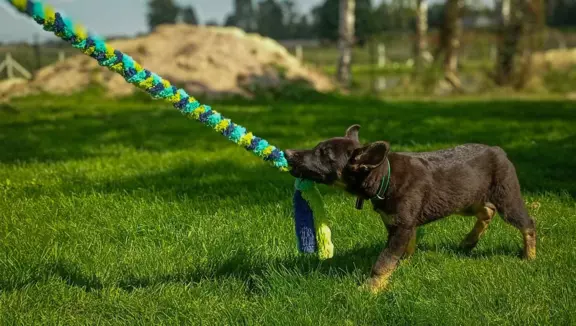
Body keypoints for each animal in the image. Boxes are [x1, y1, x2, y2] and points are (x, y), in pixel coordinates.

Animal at [284, 124, 536, 292]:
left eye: (323, 154)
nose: (287, 153)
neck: (383, 175)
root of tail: (498, 150)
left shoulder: (401, 226)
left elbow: (383, 260)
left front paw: (370, 289)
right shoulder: (401, 225)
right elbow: (404, 250)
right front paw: (403, 265)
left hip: (507, 199)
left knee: (527, 224)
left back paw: (529, 256)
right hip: (465, 200)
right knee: (486, 212)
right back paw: (468, 241)